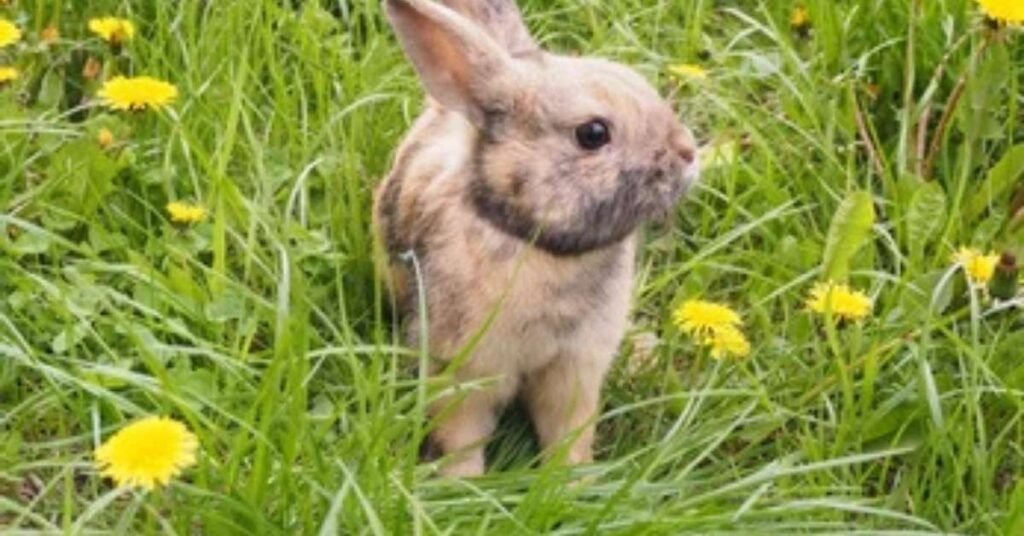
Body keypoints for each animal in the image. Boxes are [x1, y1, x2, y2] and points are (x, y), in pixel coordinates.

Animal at [374, 0, 699, 478]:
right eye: (593, 133)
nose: (688, 153)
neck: (540, 245)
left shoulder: (575, 368)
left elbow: (569, 432)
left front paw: (570, 480)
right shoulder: (463, 369)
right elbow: (461, 436)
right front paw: (462, 482)